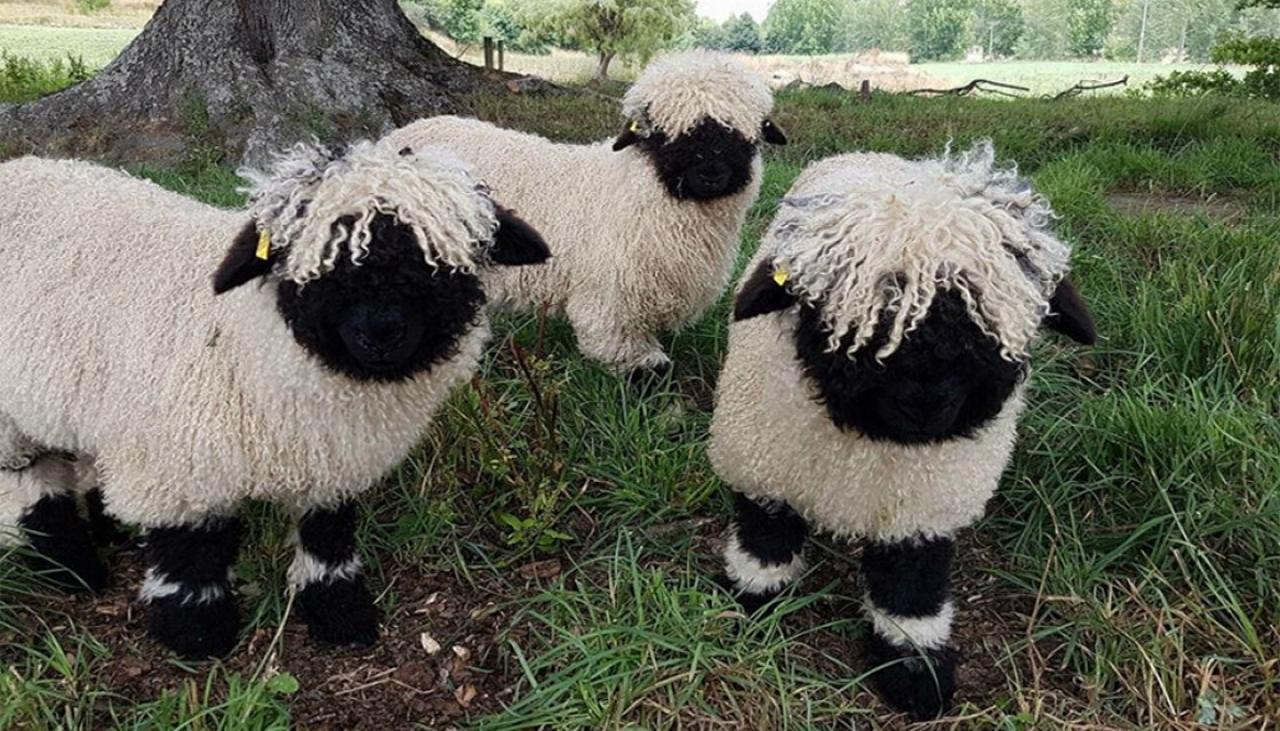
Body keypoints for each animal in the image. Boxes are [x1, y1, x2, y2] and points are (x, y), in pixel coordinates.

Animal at [0, 142, 550, 659]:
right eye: (319, 262)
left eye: (438, 263)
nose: (380, 333)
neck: (247, 342)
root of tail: (18, 166)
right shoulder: (179, 466)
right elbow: (190, 553)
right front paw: (196, 633)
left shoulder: (329, 460)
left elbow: (328, 536)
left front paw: (339, 613)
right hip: (10, 419)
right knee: (34, 485)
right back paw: (70, 569)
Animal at [381, 50, 788, 378]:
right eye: (660, 134)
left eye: (746, 136)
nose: (710, 175)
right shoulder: (611, 297)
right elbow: (626, 352)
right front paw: (647, 377)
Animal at [707, 142, 1096, 719]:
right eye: (857, 319)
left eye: (986, 324)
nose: (927, 404)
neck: (872, 446)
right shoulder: (763, 463)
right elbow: (765, 535)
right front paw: (752, 599)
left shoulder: (923, 505)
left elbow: (911, 581)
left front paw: (915, 669)